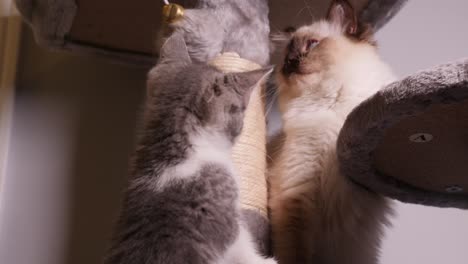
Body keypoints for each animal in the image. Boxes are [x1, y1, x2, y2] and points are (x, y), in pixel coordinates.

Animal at [104, 33, 276, 264]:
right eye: (240, 114)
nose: (242, 126)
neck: (174, 152)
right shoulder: (228, 222)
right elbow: (243, 245)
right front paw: (267, 259)